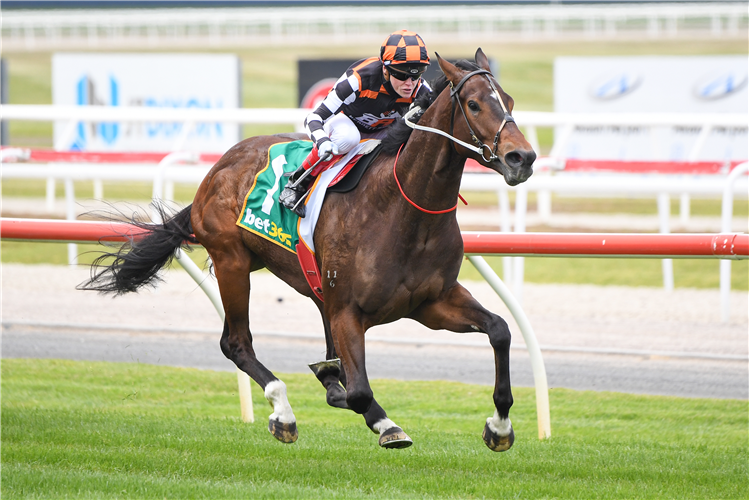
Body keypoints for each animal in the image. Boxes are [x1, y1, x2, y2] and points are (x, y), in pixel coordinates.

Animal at [82, 48, 536, 452]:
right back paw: (283, 412)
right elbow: (360, 392)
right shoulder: (349, 311)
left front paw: (499, 426)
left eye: (510, 100)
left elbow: (500, 329)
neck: (403, 209)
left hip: (303, 278)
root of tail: (220, 167)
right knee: (236, 343)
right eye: (474, 104)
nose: (523, 157)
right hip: (232, 261)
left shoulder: (431, 302)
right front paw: (386, 424)